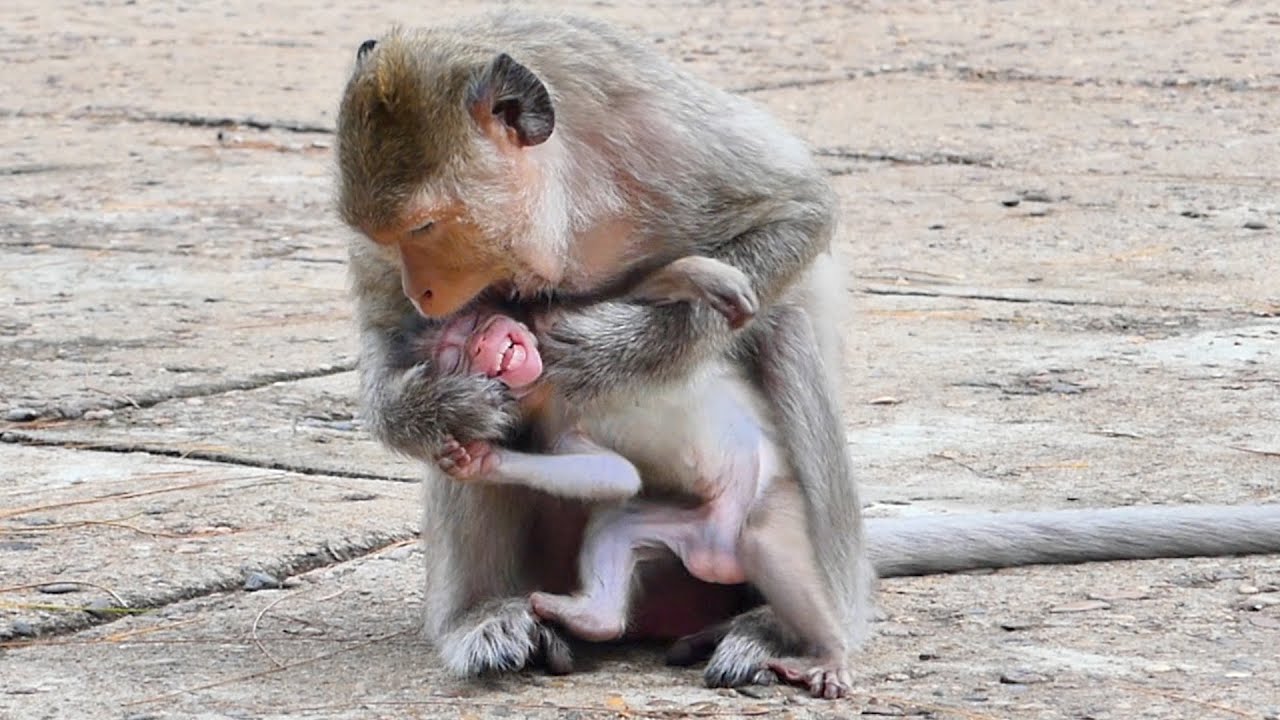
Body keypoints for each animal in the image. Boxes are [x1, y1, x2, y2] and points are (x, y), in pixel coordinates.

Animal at [334, 11, 1280, 698]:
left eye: (428, 226)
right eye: (387, 235)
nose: (429, 296)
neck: (563, 199)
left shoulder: (651, 136)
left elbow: (797, 212)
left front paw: (613, 351)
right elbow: (392, 356)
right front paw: (441, 404)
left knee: (784, 337)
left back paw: (791, 634)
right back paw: (493, 621)